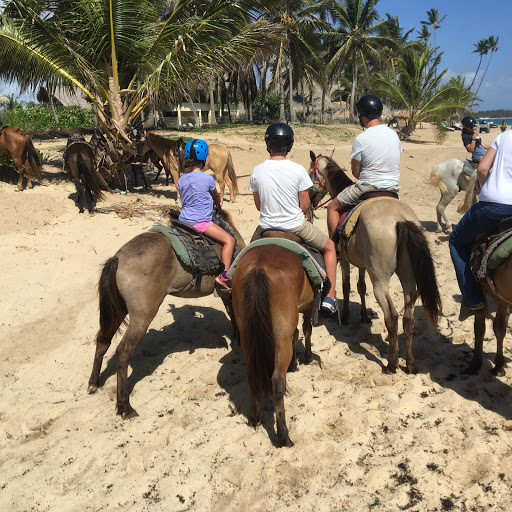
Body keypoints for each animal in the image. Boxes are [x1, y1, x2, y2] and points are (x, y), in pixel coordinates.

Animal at [231, 242, 316, 446]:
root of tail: (258, 268)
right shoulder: (309, 306)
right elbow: (306, 330)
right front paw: (306, 358)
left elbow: (297, 333)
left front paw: (294, 364)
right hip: (280, 337)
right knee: (277, 382)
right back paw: (283, 435)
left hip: (247, 335)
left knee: (252, 376)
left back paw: (255, 418)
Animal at [310, 151, 442, 372]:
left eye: (310, 172)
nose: (310, 201)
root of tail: (400, 219)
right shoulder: (363, 264)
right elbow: (361, 287)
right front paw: (363, 316)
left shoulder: (345, 260)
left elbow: (346, 286)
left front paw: (346, 315)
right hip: (408, 279)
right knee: (408, 318)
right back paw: (411, 364)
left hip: (380, 280)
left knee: (392, 317)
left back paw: (392, 363)